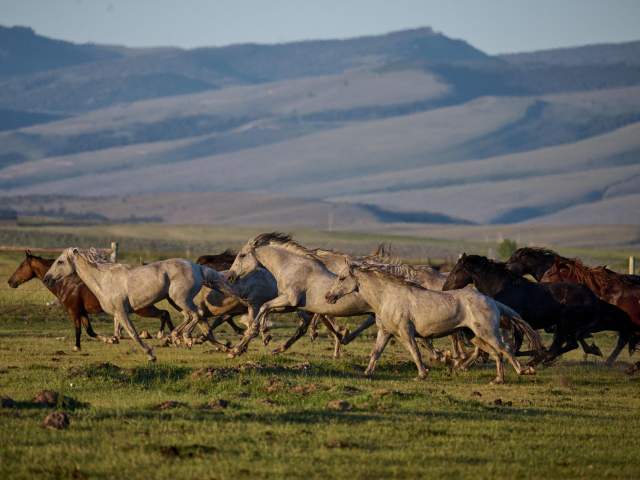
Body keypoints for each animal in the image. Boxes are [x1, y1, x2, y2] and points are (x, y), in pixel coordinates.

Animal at [7, 251, 174, 351]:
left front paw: (77, 347)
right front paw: (110, 340)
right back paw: (173, 336)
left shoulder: (74, 311)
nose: (10, 282)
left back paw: (166, 335)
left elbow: (80, 330)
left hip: (142, 309)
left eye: (21, 266)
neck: (66, 283)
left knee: (164, 314)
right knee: (166, 313)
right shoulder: (82, 312)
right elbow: (90, 331)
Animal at [43, 248, 231, 361]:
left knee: (197, 314)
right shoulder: (116, 314)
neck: (104, 280)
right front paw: (110, 340)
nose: (46, 278)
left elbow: (132, 333)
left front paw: (150, 355)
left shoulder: (122, 311)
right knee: (195, 318)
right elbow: (116, 335)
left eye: (60, 261)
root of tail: (197, 267)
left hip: (180, 299)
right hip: (177, 301)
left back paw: (184, 337)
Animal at [324, 261, 541, 384]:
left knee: (505, 349)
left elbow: (415, 352)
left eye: (342, 278)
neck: (387, 296)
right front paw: (366, 373)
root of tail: (491, 300)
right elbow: (375, 353)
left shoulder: (405, 332)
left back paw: (523, 371)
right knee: (496, 353)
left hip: (488, 333)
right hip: (474, 335)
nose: (328, 296)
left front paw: (422, 374)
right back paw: (497, 379)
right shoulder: (385, 332)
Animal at [443, 254, 607, 363]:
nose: (445, 288)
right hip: (566, 327)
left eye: (457, 270)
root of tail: (592, 296)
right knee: (570, 344)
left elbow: (514, 348)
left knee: (560, 346)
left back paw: (539, 360)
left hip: (564, 324)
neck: (503, 288)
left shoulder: (514, 325)